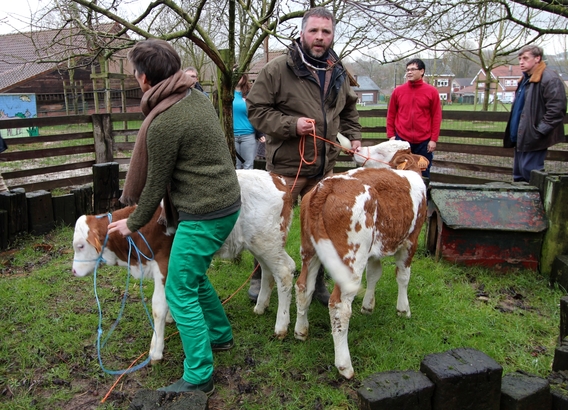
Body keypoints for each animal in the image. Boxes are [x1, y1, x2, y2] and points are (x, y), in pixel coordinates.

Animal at [71, 170, 296, 362]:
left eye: (80, 245)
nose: (73, 271)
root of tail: (278, 179)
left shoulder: (165, 264)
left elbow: (158, 307)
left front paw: (155, 350)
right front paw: (171, 319)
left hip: (267, 241)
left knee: (285, 271)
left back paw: (281, 326)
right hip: (261, 244)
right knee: (267, 270)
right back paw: (260, 306)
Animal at [292, 141, 426, 378]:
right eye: (381, 150)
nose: (358, 151)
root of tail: (327, 185)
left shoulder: (374, 249)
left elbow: (374, 274)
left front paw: (368, 306)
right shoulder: (411, 241)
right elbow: (403, 276)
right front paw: (403, 309)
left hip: (310, 250)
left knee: (303, 287)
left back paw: (300, 331)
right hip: (351, 259)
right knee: (339, 305)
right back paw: (344, 365)